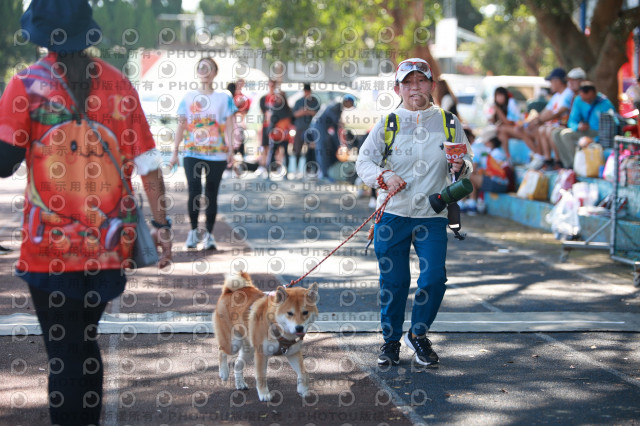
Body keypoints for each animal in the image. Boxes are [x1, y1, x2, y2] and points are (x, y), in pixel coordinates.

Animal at [214, 272, 318, 402]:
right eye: (290, 313)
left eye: (305, 312)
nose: (299, 328)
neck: (277, 327)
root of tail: (229, 291)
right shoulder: (261, 354)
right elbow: (261, 377)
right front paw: (264, 394)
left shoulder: (293, 352)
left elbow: (304, 373)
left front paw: (303, 389)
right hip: (233, 344)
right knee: (221, 350)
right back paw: (223, 372)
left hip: (248, 349)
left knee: (237, 364)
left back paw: (240, 384)